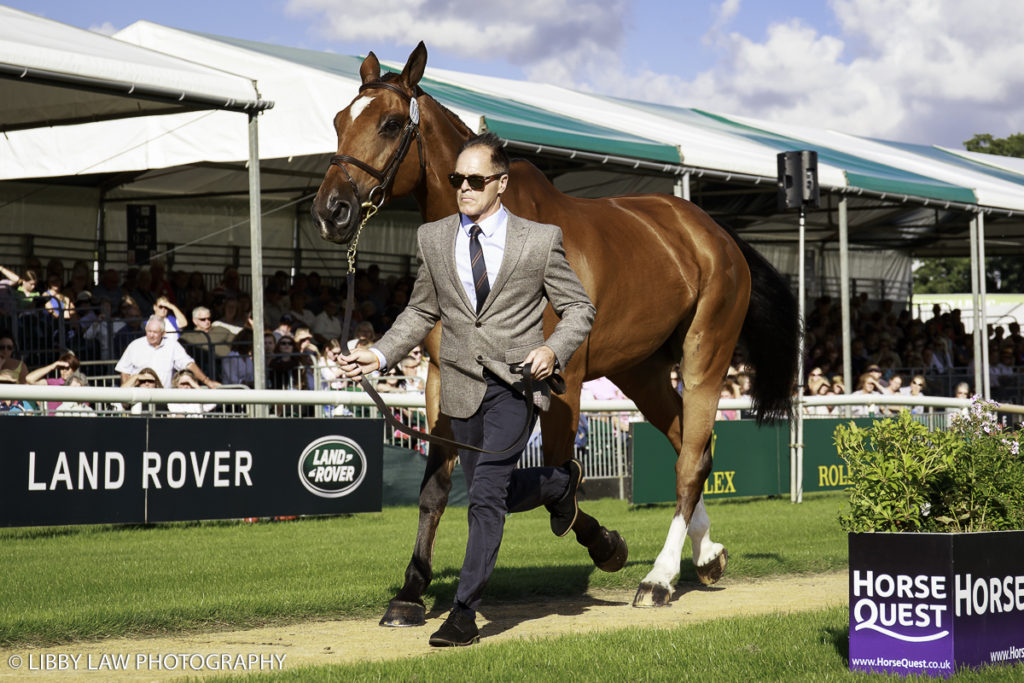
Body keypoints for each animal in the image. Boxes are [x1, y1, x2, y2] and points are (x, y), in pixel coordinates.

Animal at [311, 44, 798, 626]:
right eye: (338, 121)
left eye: (387, 124)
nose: (330, 211)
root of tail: (715, 232)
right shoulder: (443, 379)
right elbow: (438, 486)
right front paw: (410, 591)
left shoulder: (559, 383)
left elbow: (560, 480)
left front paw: (609, 545)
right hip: (641, 370)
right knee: (689, 443)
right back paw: (705, 554)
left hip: (706, 354)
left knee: (690, 459)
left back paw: (659, 577)